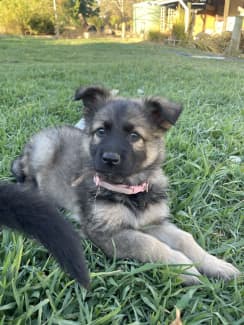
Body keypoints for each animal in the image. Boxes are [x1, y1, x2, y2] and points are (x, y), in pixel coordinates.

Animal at [11, 86, 240, 284]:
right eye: (101, 131)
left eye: (134, 136)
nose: (109, 159)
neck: (130, 189)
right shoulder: (106, 232)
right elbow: (148, 243)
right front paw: (183, 267)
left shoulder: (153, 222)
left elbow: (186, 238)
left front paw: (216, 264)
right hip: (44, 149)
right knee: (27, 176)